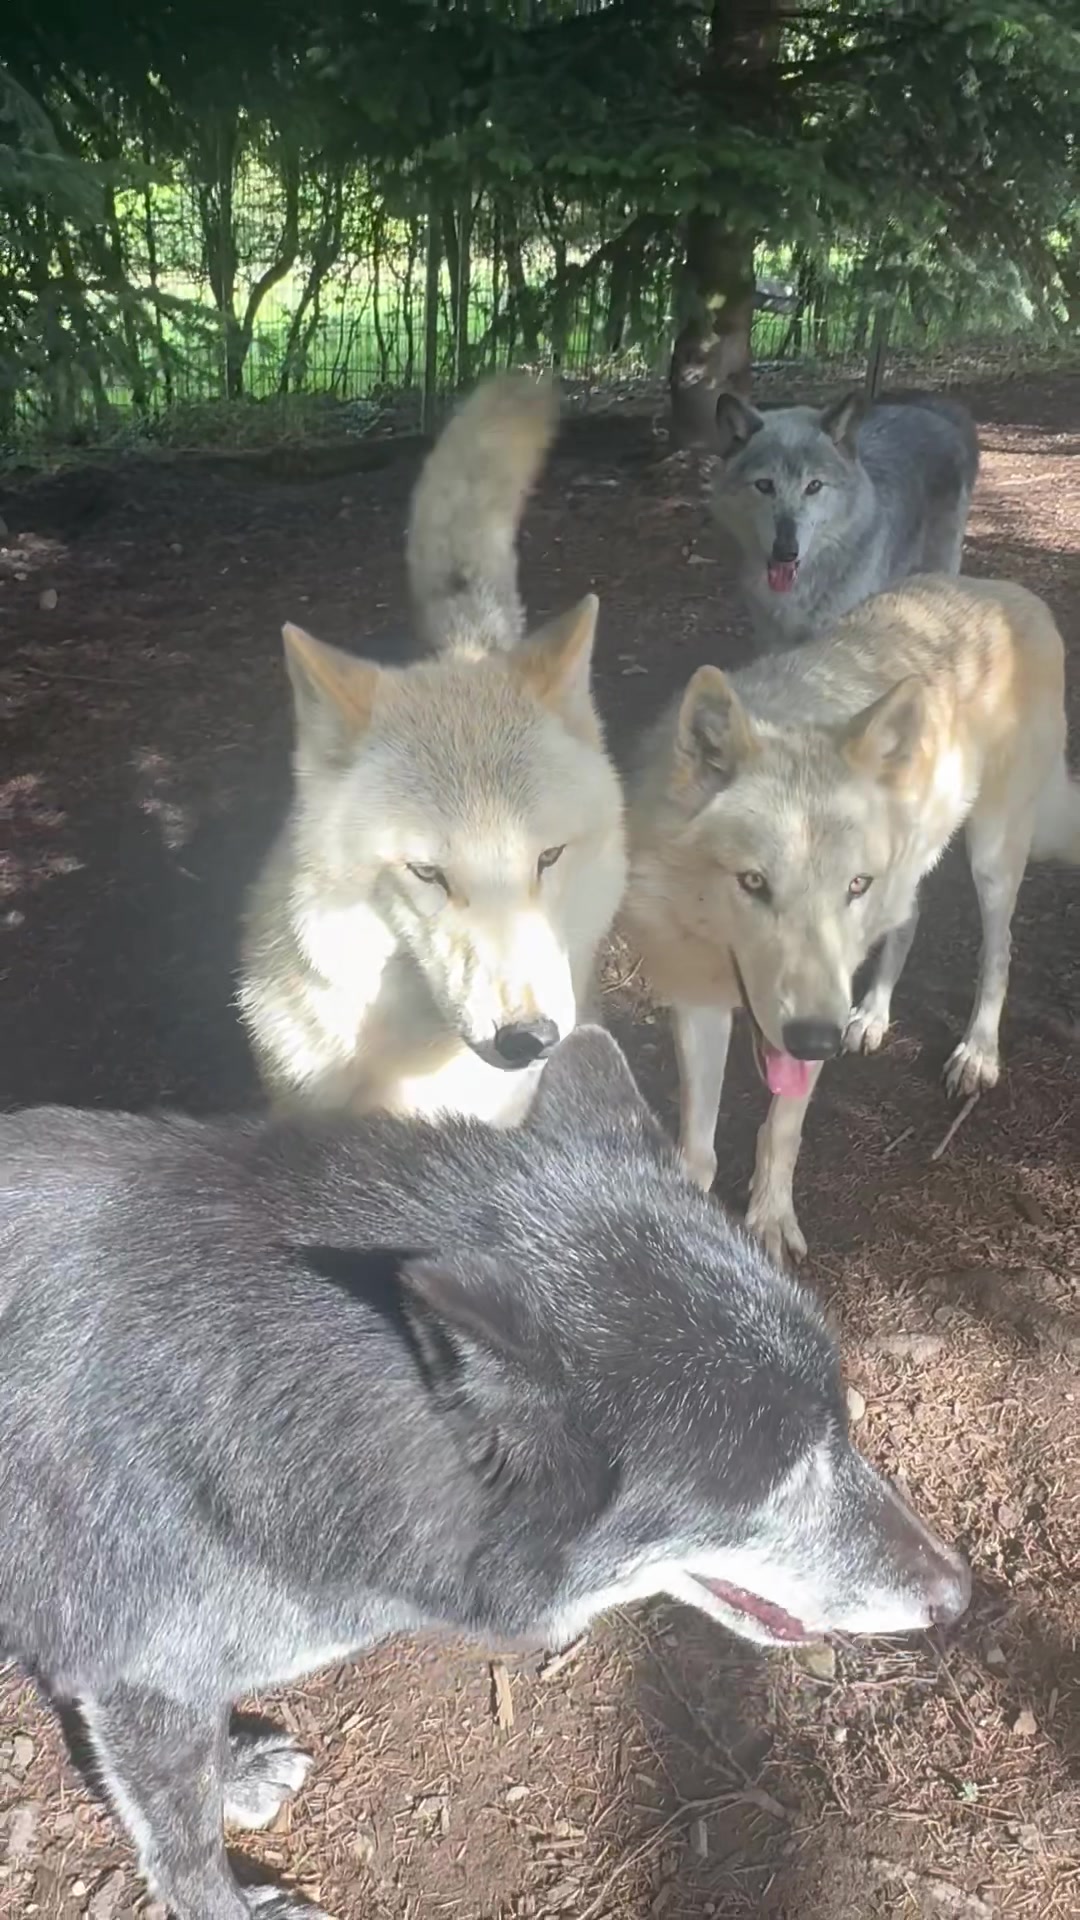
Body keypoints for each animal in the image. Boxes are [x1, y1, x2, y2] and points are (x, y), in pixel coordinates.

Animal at [0, 1029, 970, 1920]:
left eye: (841, 1428)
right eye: (786, 1481)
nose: (959, 1596)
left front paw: (232, 1769)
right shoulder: (142, 1681)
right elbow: (185, 1842)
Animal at [623, 574, 1080, 1263]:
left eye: (851, 886)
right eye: (753, 883)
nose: (821, 1040)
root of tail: (1011, 592)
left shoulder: (823, 991)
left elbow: (781, 1129)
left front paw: (770, 1222)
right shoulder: (699, 999)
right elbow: (697, 1145)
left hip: (992, 856)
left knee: (998, 951)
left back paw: (977, 1052)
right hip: (911, 869)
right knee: (909, 923)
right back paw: (873, 1016)